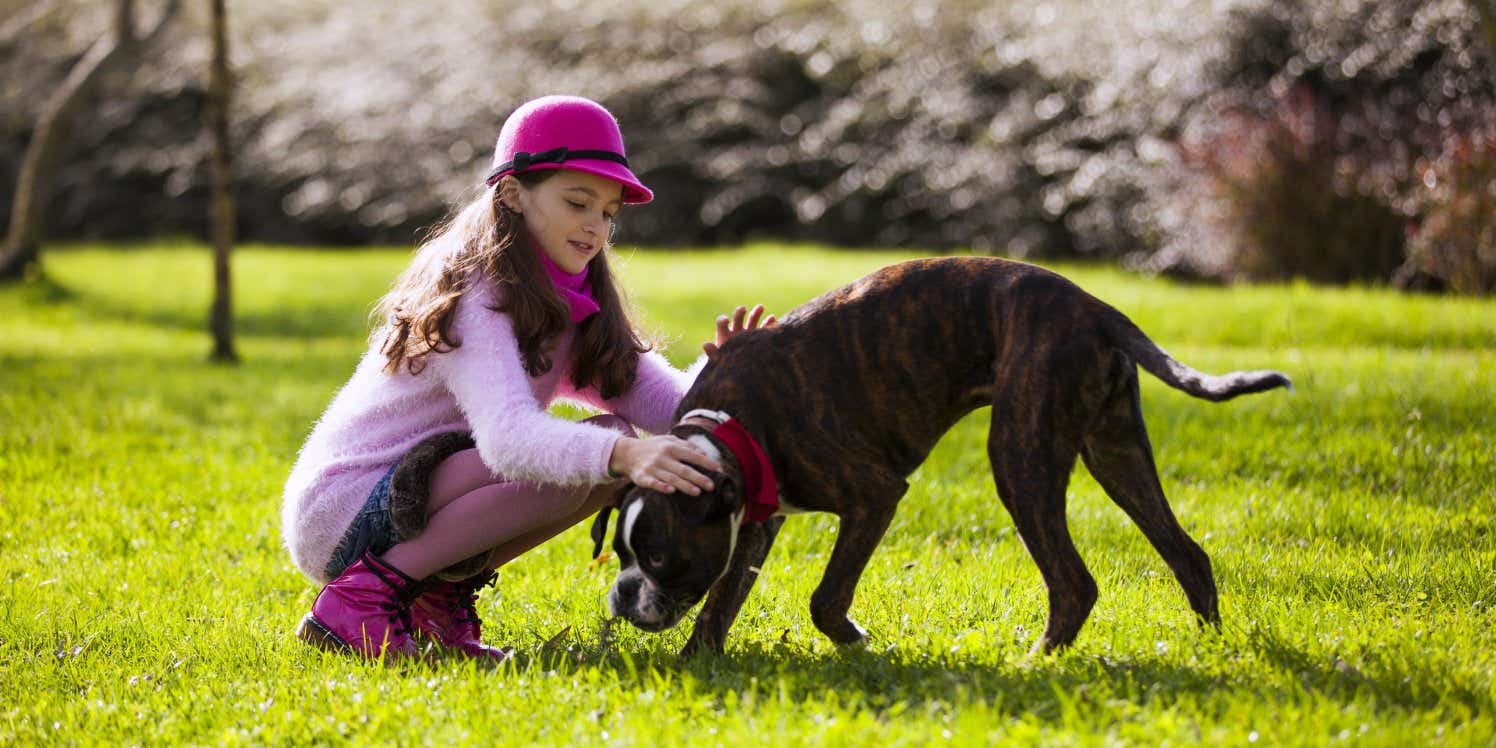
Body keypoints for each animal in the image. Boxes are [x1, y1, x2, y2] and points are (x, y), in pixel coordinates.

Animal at [589, 257, 1292, 655]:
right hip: (1115, 450)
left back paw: (1036, 661)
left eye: (659, 558)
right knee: (1187, 553)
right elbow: (721, 602)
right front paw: (697, 666)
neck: (729, 427)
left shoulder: (873, 498)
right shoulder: (757, 524)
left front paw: (855, 643)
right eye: (618, 555)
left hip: (1020, 458)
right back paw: (1210, 650)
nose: (623, 594)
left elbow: (824, 598)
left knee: (1074, 583)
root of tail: (1094, 305)